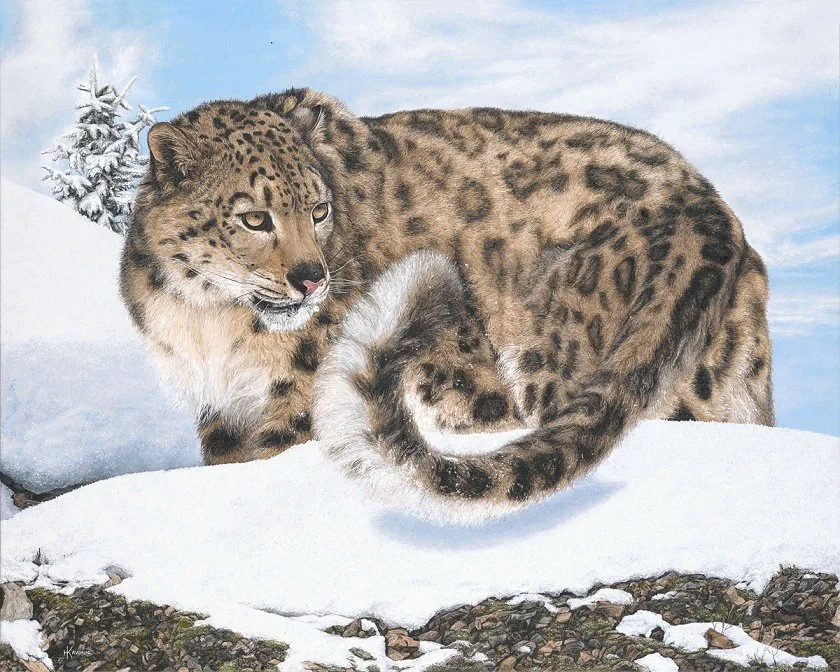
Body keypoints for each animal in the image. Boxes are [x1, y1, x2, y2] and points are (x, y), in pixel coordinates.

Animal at [120, 87, 773, 522]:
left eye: (319, 209)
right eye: (255, 218)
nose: (311, 279)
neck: (210, 325)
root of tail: (703, 206)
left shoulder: (299, 398)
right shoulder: (220, 410)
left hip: (545, 350)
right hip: (724, 385)